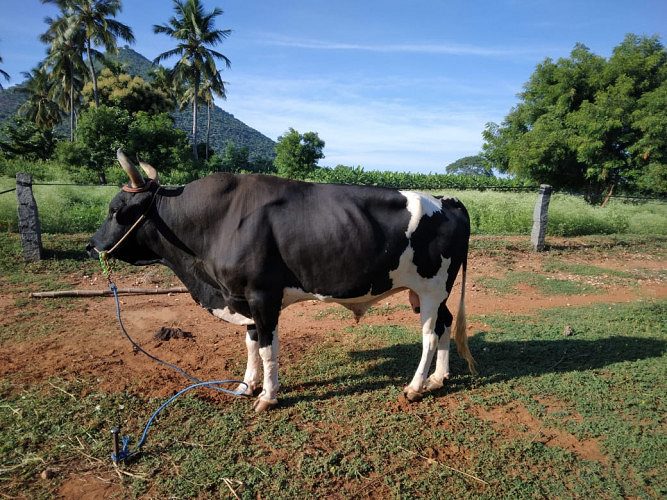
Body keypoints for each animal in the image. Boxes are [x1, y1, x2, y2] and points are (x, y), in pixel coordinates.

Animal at [87, 149, 475, 412]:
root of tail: (448, 199)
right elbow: (250, 345)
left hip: (431, 288)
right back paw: (438, 379)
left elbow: (267, 349)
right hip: (431, 293)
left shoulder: (262, 296)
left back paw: (415, 386)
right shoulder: (240, 297)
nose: (92, 245)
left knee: (429, 336)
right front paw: (246, 385)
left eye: (117, 210)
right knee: (444, 325)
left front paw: (268, 396)